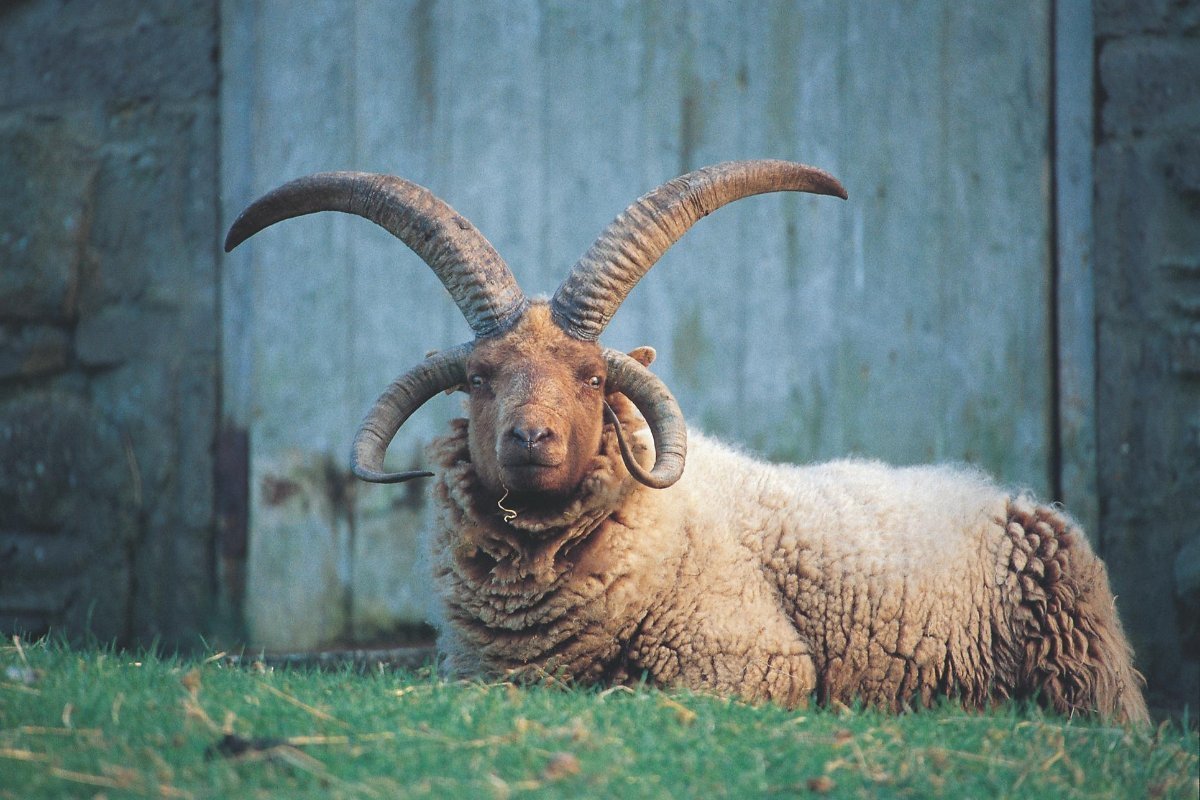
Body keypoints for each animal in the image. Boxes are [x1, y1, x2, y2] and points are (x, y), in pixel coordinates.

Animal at [225, 160, 1149, 723]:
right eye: (480, 377)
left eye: (592, 379)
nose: (531, 437)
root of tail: (1014, 497)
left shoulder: (752, 667)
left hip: (1088, 678)